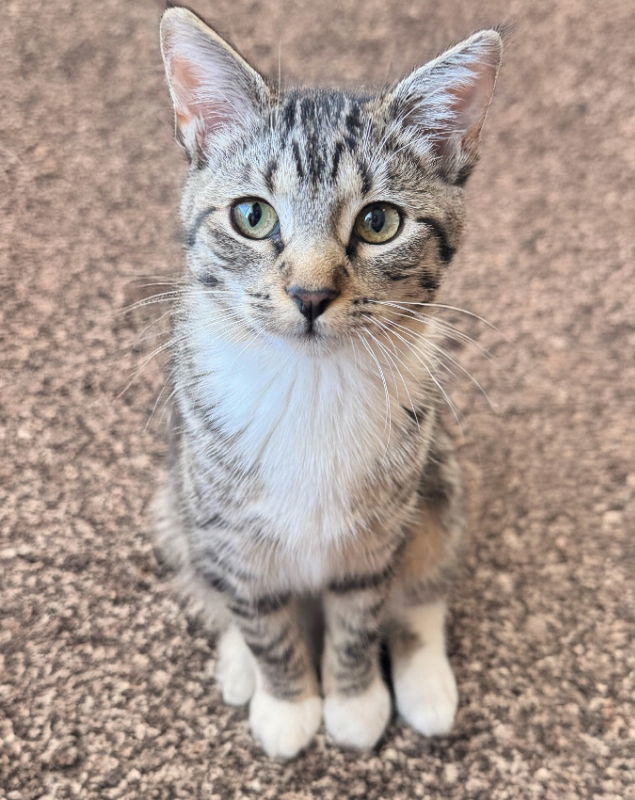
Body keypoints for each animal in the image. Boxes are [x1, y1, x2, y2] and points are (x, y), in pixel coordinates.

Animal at [154, 4, 502, 756]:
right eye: (251, 215)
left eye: (378, 222)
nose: (310, 295)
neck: (309, 388)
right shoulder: (226, 521)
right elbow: (260, 617)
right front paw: (287, 705)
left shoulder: (379, 528)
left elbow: (360, 616)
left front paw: (352, 701)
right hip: (175, 501)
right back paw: (238, 665)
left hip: (438, 477)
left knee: (424, 585)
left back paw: (426, 683)